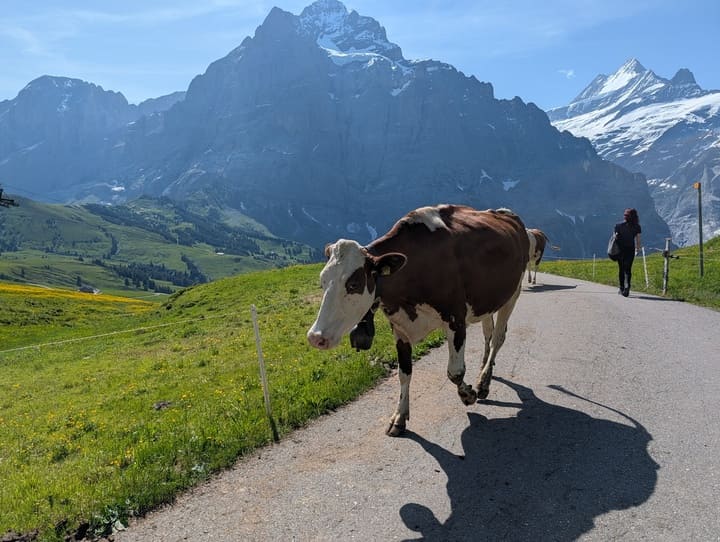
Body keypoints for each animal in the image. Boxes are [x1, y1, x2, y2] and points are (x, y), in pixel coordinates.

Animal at [307, 204, 529, 436]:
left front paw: (468, 395)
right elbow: (404, 373)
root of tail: (505, 213)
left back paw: (483, 383)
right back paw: (484, 371)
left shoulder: (456, 319)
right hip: (487, 301)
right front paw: (399, 417)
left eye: (353, 284)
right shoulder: (399, 328)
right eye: (322, 281)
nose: (315, 337)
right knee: (488, 333)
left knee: (498, 338)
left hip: (513, 293)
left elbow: (455, 372)